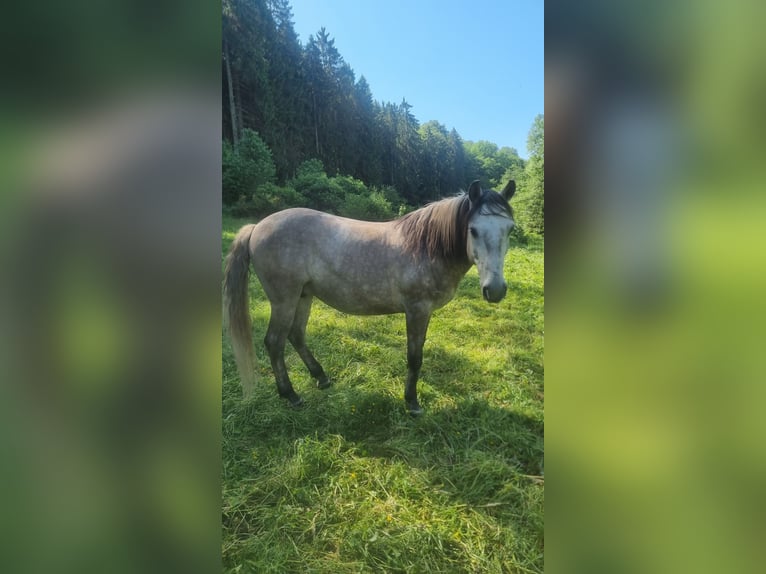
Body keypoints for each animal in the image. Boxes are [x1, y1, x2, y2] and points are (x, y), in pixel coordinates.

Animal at [223, 179, 516, 415]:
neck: (425, 247)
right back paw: (291, 395)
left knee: (296, 335)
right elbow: (415, 357)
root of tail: (257, 226)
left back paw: (321, 377)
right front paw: (412, 402)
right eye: (473, 230)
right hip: (284, 300)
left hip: (304, 296)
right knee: (275, 342)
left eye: (510, 229)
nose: (495, 290)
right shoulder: (417, 310)